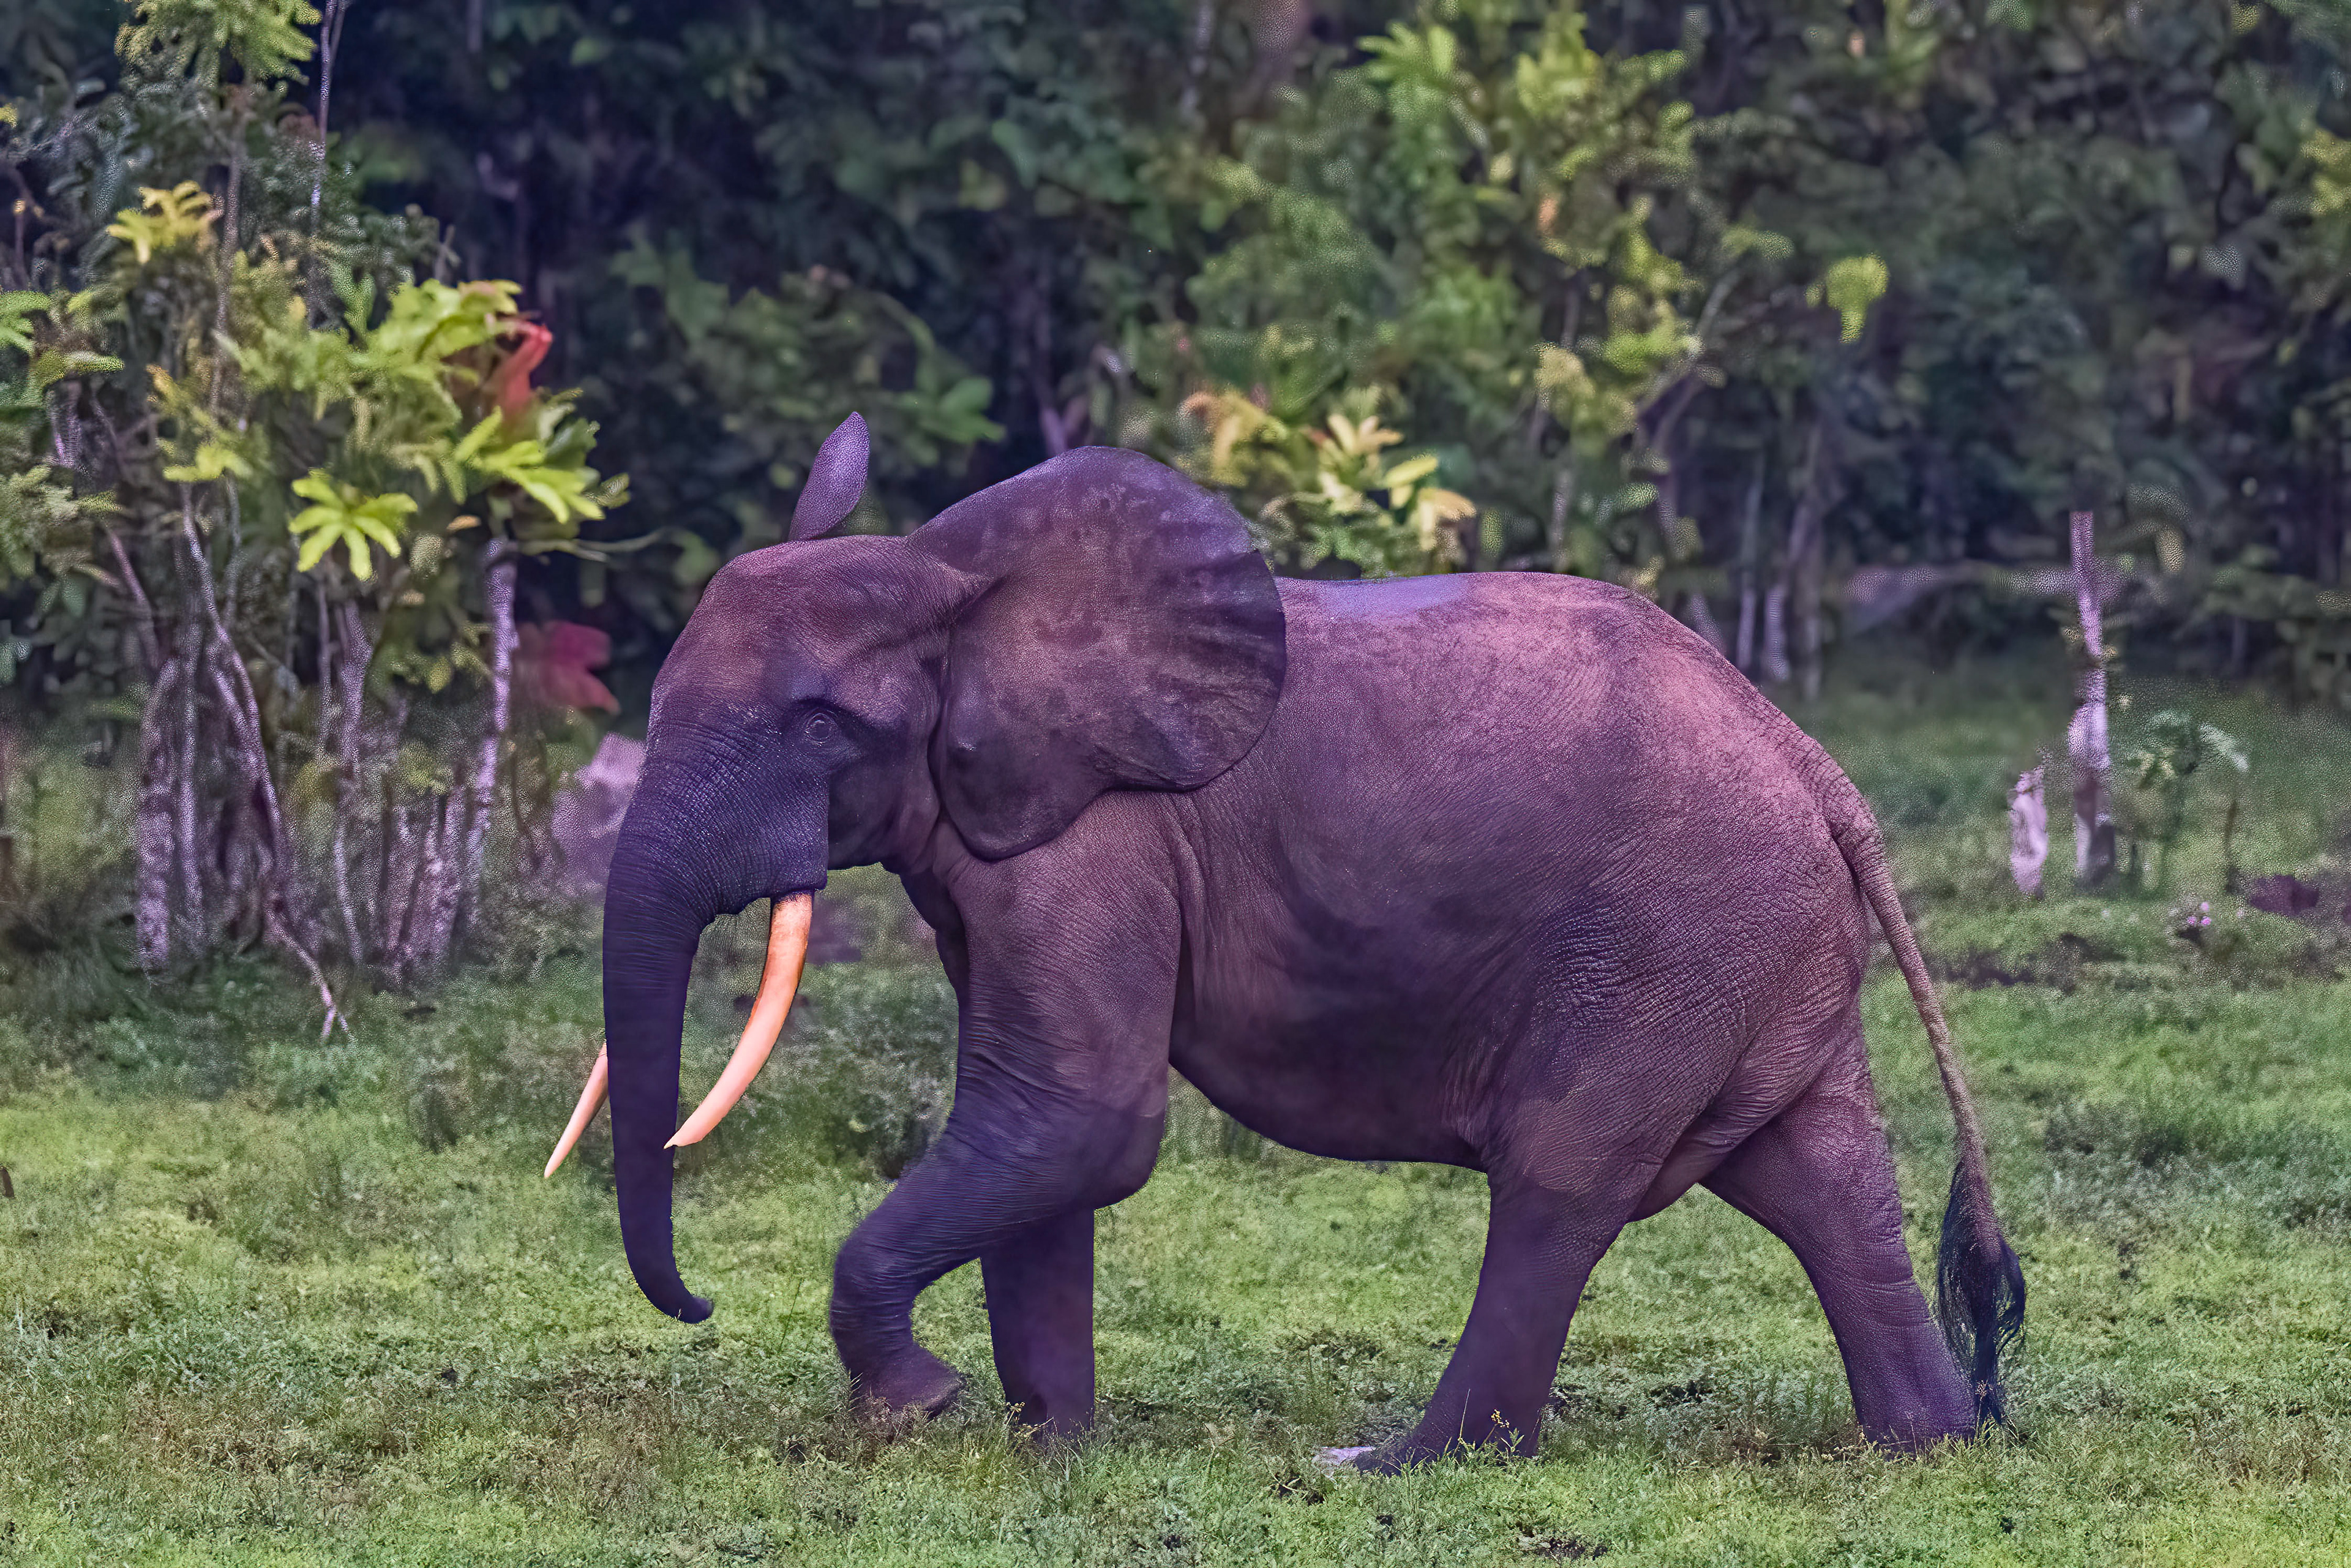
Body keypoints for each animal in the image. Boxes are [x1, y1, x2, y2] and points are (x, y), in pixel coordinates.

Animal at [546, 413, 2025, 1468]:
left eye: (812, 722)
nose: (699, 1309)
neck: (953, 578)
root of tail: (1817, 763)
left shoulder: (1103, 839)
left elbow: (1081, 1116)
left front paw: (923, 1403)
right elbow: (1045, 1133)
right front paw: (1048, 1446)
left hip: (1669, 945)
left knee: (1561, 1176)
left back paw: (1393, 1462)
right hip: (1753, 949)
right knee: (1821, 1174)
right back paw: (1926, 1439)